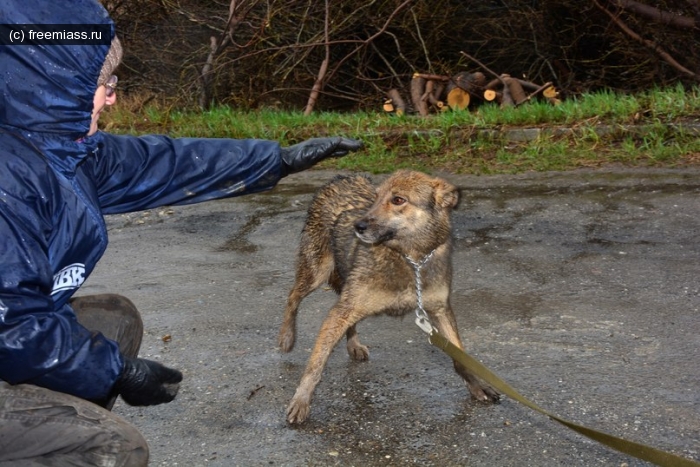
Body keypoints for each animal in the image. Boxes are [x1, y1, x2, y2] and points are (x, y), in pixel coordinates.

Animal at [278, 171, 498, 424]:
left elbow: (461, 359)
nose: (358, 226)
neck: (410, 258)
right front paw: (301, 401)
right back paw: (286, 337)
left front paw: (477, 386)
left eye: (398, 200)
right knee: (292, 296)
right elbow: (315, 364)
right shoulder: (342, 309)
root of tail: (340, 177)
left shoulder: (440, 310)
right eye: (375, 198)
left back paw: (353, 345)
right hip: (317, 272)